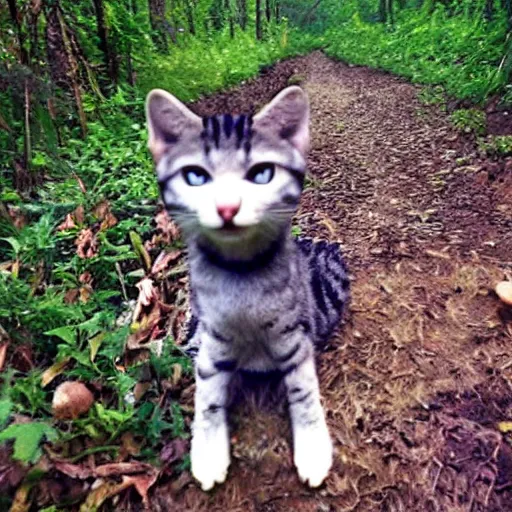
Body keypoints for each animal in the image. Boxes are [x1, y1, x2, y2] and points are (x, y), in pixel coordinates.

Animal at [146, 85, 350, 492]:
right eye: (195, 176)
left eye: (262, 174)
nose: (227, 208)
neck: (240, 276)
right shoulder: (211, 338)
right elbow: (207, 393)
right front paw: (209, 451)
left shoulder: (294, 334)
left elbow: (303, 389)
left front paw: (312, 447)